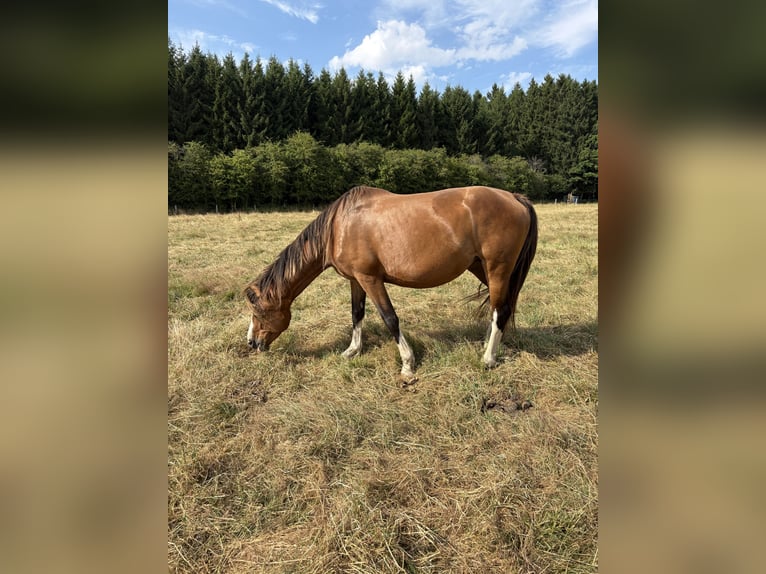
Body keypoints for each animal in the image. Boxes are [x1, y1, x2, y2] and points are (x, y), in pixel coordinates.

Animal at [244, 185, 537, 379]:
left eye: (258, 312)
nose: (252, 343)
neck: (339, 226)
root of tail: (515, 198)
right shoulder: (356, 280)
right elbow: (357, 314)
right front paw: (352, 351)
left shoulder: (371, 279)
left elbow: (389, 318)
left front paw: (407, 364)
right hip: (482, 267)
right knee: (497, 307)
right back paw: (488, 344)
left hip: (498, 267)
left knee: (501, 309)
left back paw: (488, 358)